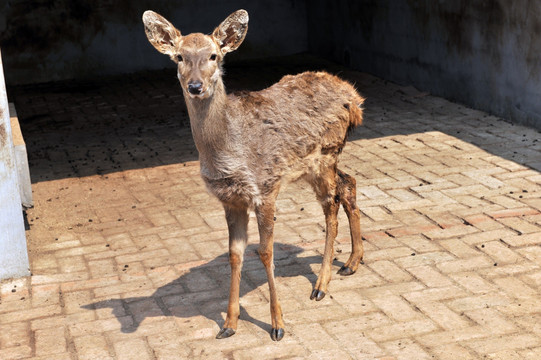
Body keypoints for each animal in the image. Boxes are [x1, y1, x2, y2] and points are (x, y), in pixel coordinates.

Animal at [141, 8, 364, 340]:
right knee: (348, 183)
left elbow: (265, 252)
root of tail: (355, 98)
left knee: (331, 205)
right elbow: (235, 254)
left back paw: (321, 284)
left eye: (213, 55)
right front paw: (229, 324)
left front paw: (278, 325)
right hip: (319, 164)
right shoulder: (230, 199)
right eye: (179, 57)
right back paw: (352, 261)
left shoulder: (266, 187)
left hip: (325, 154)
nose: (195, 86)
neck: (228, 155)